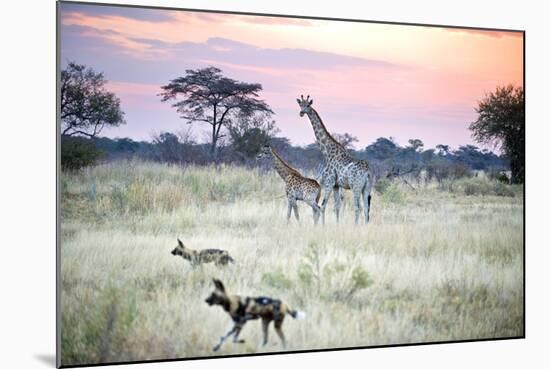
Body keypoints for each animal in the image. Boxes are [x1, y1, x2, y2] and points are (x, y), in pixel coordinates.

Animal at [300, 94, 374, 224]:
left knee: (358, 207)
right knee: (366, 208)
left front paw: (323, 225)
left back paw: (356, 226)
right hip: (366, 188)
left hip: (356, 187)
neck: (327, 152)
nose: (301, 112)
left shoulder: (329, 182)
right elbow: (337, 206)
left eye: (308, 105)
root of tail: (368, 172)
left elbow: (323, 206)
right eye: (300, 104)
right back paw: (365, 226)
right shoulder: (336, 185)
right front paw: (337, 224)